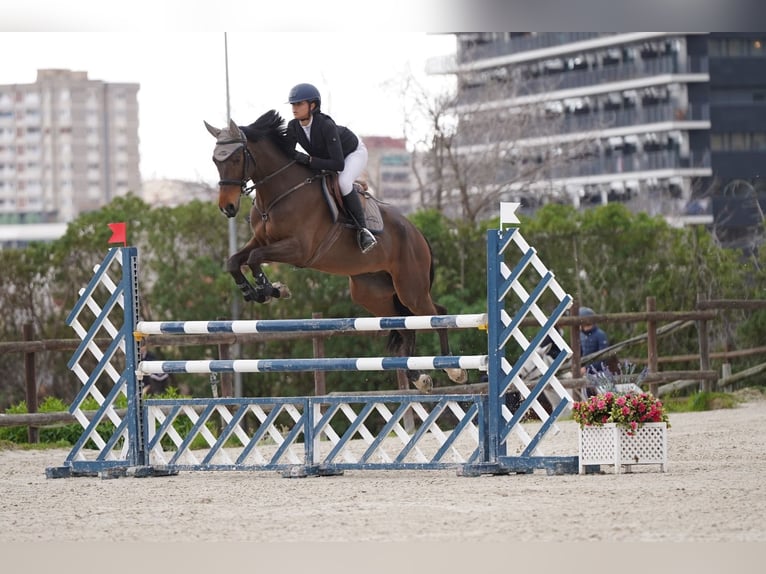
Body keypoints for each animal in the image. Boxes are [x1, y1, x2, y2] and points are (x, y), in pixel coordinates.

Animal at [203, 110, 468, 392]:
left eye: (236, 158)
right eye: (215, 160)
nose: (227, 208)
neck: (278, 193)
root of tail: (417, 233)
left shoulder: (299, 250)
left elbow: (254, 258)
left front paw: (269, 290)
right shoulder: (261, 240)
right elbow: (235, 261)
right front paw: (255, 291)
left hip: (411, 289)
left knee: (437, 314)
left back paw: (454, 370)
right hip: (372, 294)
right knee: (405, 326)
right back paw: (419, 377)